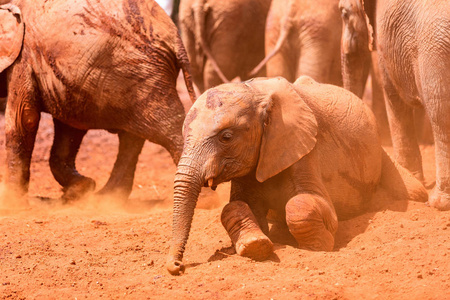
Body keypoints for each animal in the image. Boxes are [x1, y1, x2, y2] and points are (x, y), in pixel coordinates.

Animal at [0, 0, 195, 204]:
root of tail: (176, 39)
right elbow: (69, 126)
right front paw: (82, 190)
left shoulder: (22, 58)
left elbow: (24, 118)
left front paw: (11, 202)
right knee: (132, 137)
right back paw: (107, 198)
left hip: (141, 72)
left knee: (167, 128)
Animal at [167, 76, 428, 276]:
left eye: (227, 137)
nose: (177, 267)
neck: (257, 92)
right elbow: (234, 207)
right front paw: (255, 246)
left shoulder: (304, 147)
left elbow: (305, 205)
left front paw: (318, 246)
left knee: (415, 192)